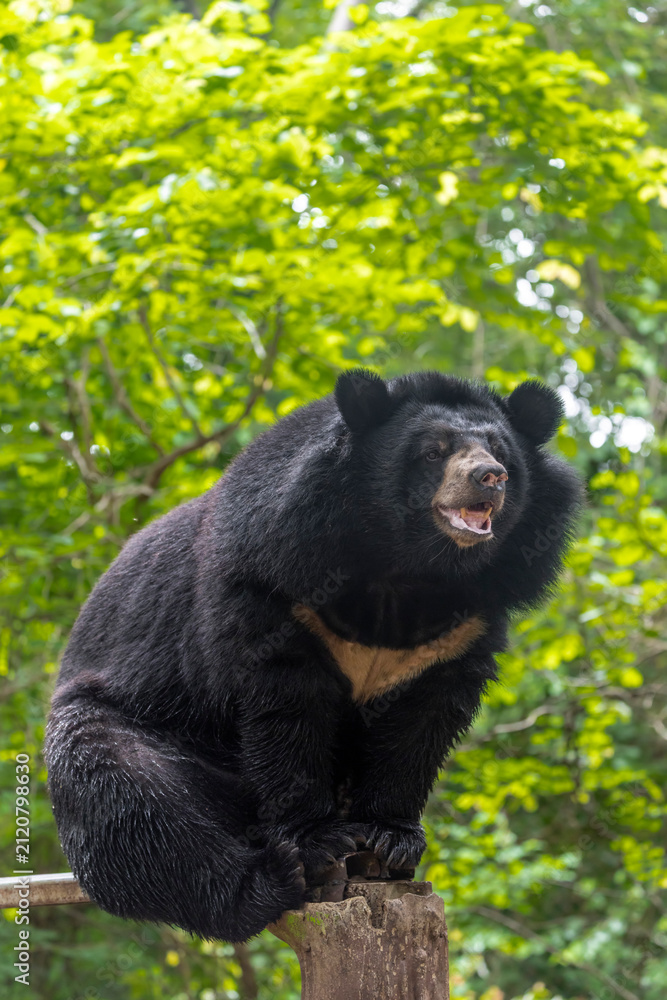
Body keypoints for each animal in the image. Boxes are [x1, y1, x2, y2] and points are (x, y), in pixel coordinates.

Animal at [44, 368, 582, 943]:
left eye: (501, 450)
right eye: (433, 452)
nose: (489, 477)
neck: (407, 571)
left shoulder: (460, 629)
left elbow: (420, 725)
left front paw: (392, 840)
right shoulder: (277, 584)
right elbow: (287, 711)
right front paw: (319, 841)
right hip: (136, 719)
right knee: (129, 798)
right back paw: (269, 879)